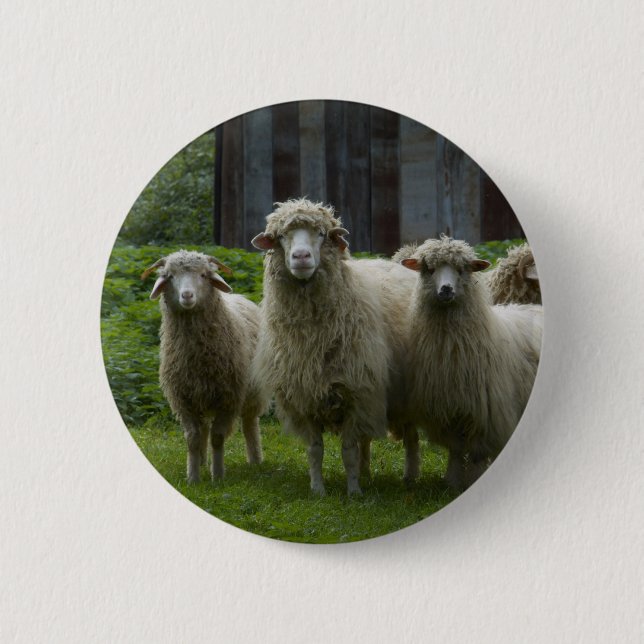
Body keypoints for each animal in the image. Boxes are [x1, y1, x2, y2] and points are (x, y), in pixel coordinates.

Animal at [141, 250, 266, 483]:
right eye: (170, 276)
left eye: (203, 275)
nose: (187, 296)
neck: (197, 358)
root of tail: (240, 297)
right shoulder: (184, 399)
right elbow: (192, 438)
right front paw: (193, 478)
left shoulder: (228, 398)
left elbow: (217, 438)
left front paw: (217, 476)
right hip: (202, 395)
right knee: (204, 429)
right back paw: (201, 461)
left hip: (252, 394)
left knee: (249, 423)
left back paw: (255, 460)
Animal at [251, 198, 417, 495]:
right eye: (281, 236)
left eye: (321, 234)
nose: (301, 257)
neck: (312, 337)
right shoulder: (305, 396)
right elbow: (316, 451)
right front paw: (318, 490)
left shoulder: (356, 392)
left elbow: (348, 451)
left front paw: (353, 492)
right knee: (366, 440)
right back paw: (366, 472)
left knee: (411, 436)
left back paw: (409, 476)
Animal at [398, 236, 543, 490]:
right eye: (429, 269)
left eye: (461, 269)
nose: (446, 289)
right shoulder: (448, 409)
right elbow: (456, 450)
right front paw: (453, 481)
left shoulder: (484, 415)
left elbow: (476, 453)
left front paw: (475, 479)